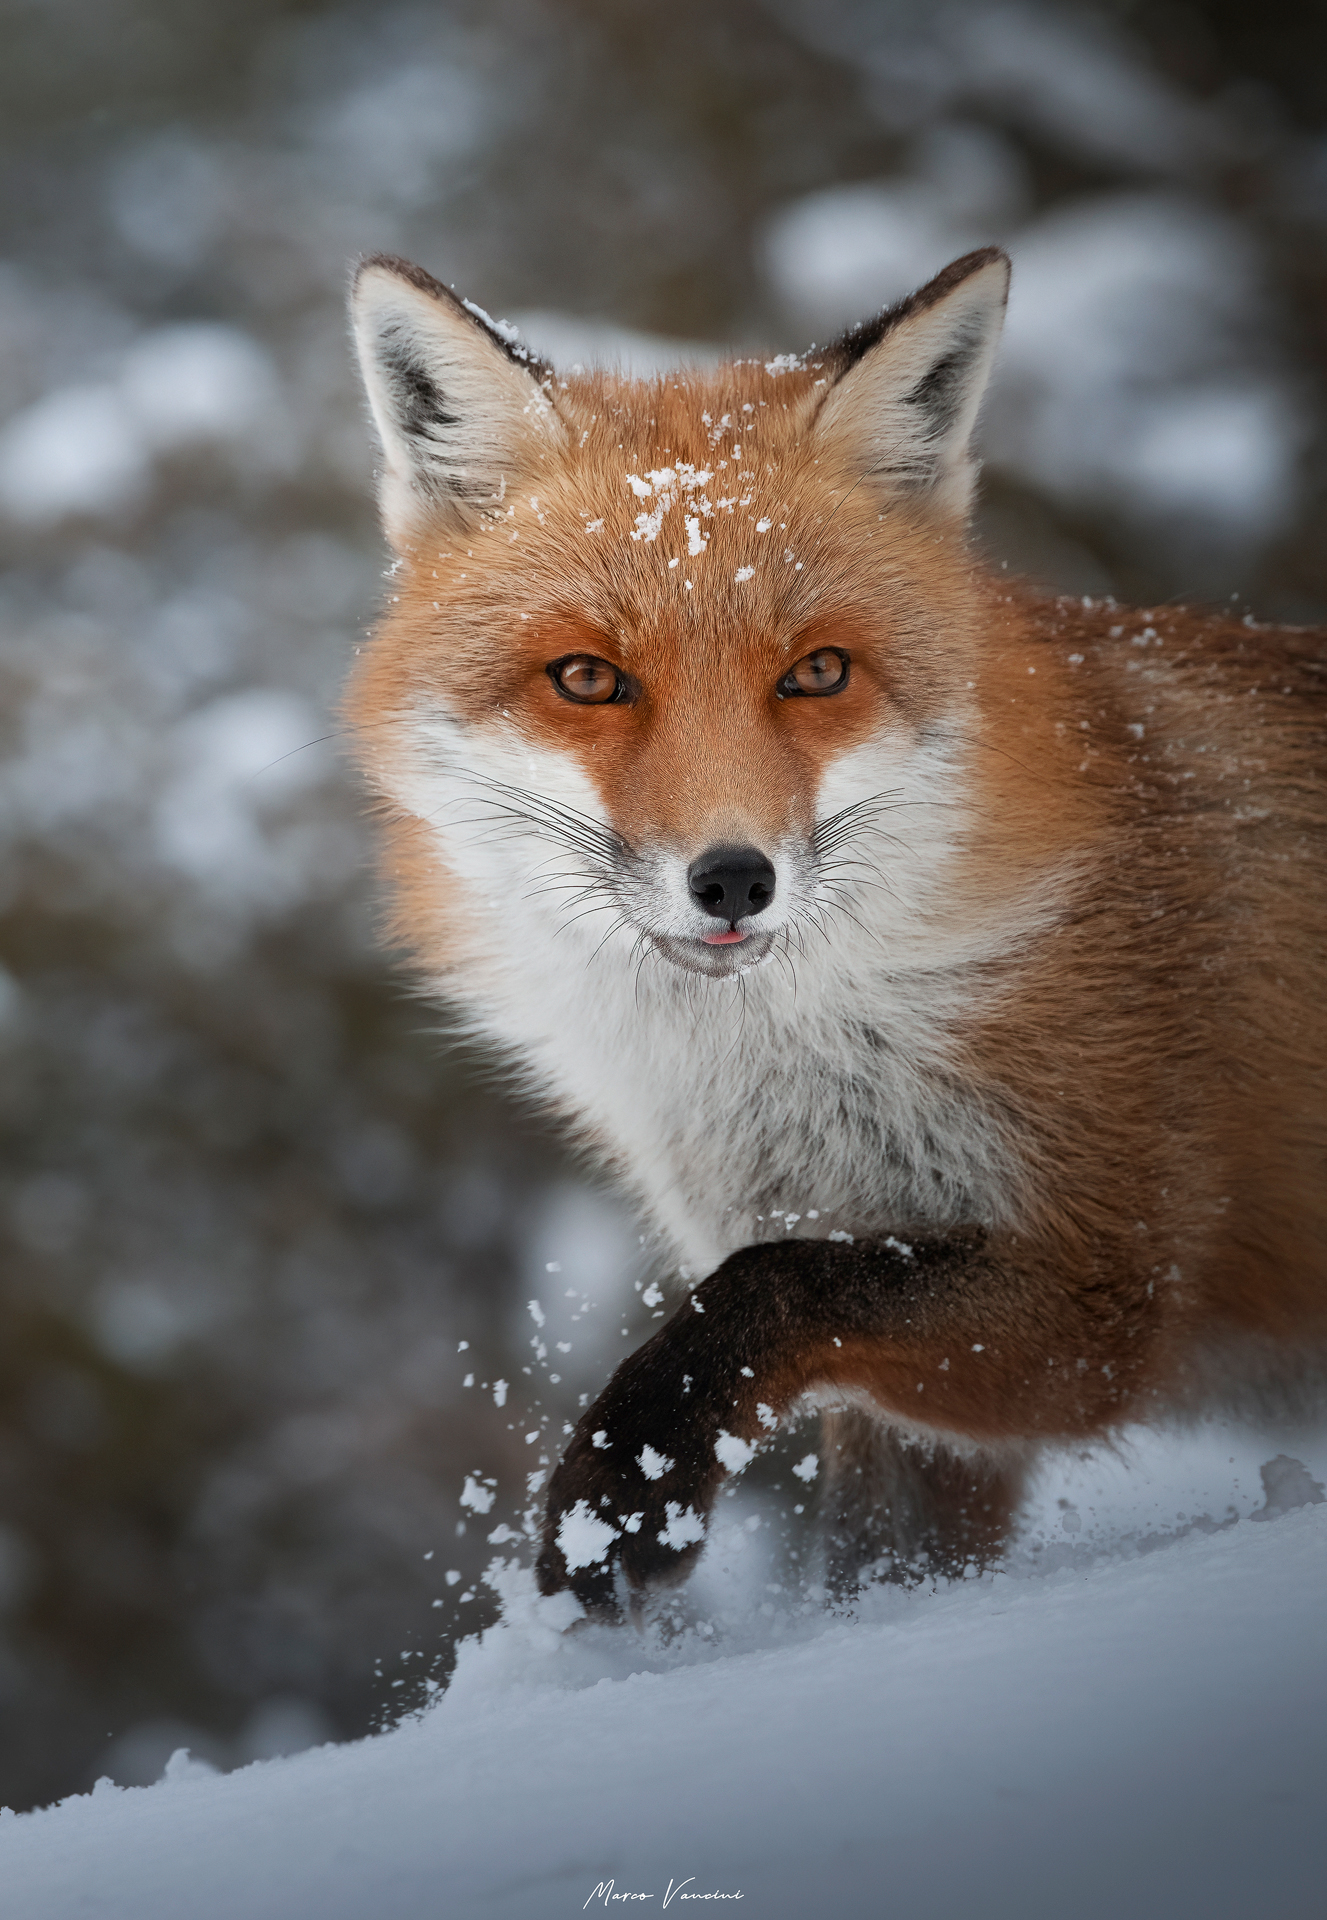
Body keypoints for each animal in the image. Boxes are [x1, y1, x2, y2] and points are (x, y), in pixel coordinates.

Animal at [345, 246, 1326, 1620]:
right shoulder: (925, 1392)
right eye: (588, 679)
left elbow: (768, 1285)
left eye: (817, 673)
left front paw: (625, 1491)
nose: (732, 881)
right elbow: (867, 1562)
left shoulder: (1103, 1285)